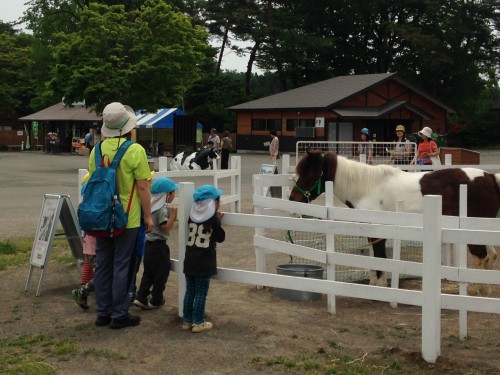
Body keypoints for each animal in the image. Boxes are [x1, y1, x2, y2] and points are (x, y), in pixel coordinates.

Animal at [290, 150, 500, 296]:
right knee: (491, 255)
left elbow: (380, 258)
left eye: (309, 172)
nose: (293, 198)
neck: (368, 188)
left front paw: (380, 287)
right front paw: (374, 284)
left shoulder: (379, 233)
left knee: (481, 257)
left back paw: (476, 290)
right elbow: (373, 258)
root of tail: (490, 177)